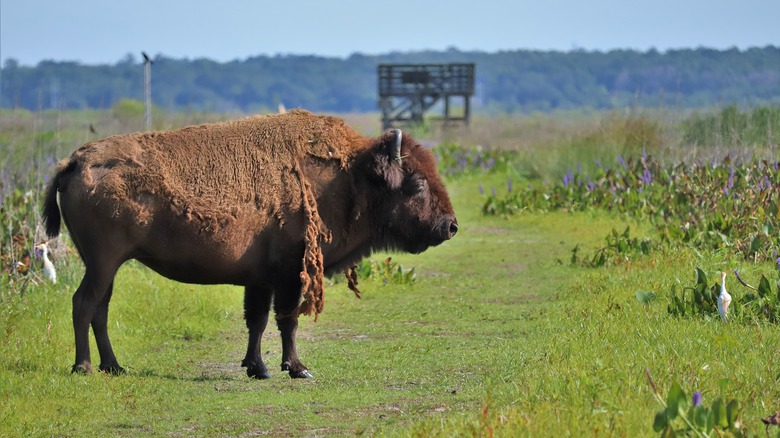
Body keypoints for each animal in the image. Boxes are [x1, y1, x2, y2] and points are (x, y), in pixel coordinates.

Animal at [42, 110, 458, 380]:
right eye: (416, 183)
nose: (450, 226)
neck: (348, 175)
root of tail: (75, 161)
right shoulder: (290, 273)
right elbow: (287, 319)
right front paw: (297, 369)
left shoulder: (260, 279)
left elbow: (256, 321)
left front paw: (256, 368)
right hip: (103, 261)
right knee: (84, 303)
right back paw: (84, 367)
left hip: (106, 265)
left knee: (100, 308)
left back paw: (114, 366)